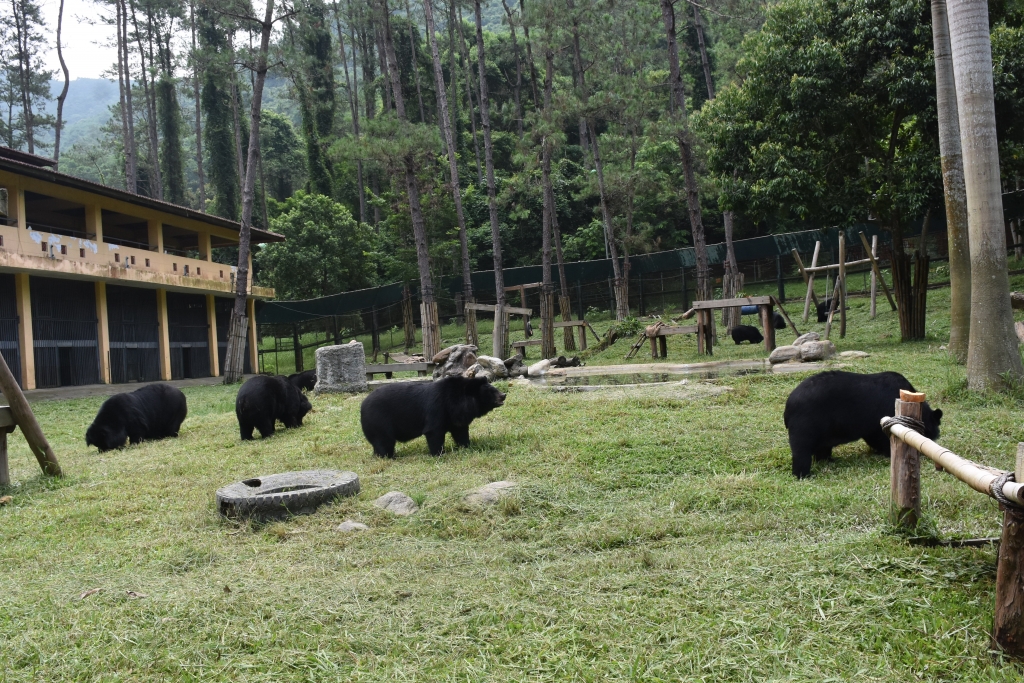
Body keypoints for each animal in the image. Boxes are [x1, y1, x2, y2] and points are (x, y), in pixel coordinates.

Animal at [360, 374, 507, 458]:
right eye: (491, 391)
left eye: (495, 388)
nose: (504, 395)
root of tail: (362, 406)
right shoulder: (437, 408)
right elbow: (434, 432)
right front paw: (439, 454)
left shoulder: (455, 417)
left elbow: (460, 432)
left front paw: (466, 446)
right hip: (379, 421)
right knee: (384, 441)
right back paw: (388, 457)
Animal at [782, 370, 942, 479]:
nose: (934, 437)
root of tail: (788, 406)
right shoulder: (882, 414)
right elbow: (880, 437)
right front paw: (887, 452)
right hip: (806, 422)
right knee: (801, 449)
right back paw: (803, 474)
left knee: (822, 447)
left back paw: (829, 460)